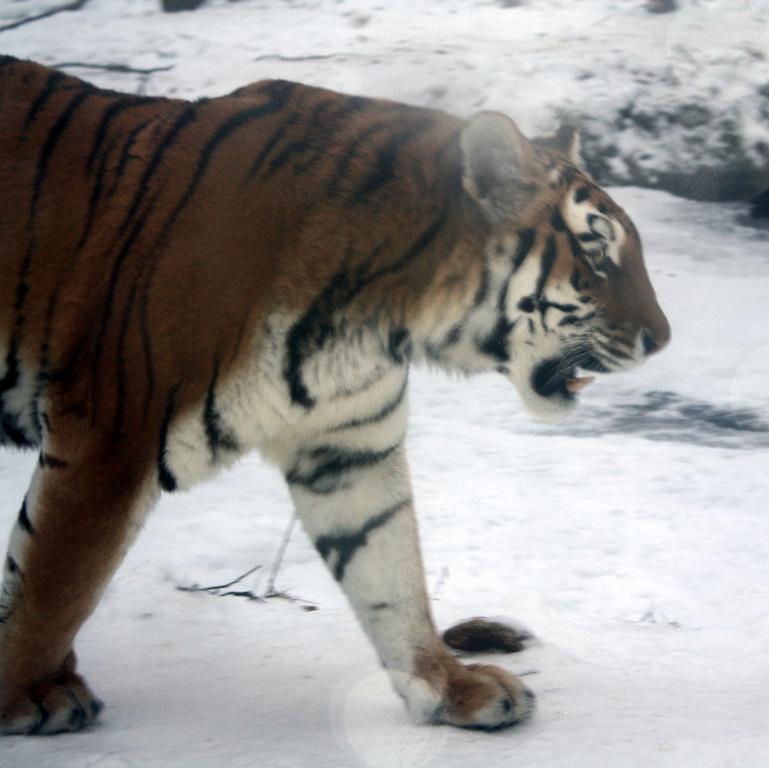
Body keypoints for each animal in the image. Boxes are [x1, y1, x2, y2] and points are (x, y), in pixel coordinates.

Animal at [0, 57, 664, 736]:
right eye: (597, 253)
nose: (661, 339)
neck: (382, 320)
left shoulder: (348, 448)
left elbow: (393, 576)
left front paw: (451, 687)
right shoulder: (110, 436)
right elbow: (57, 582)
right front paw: (29, 693)